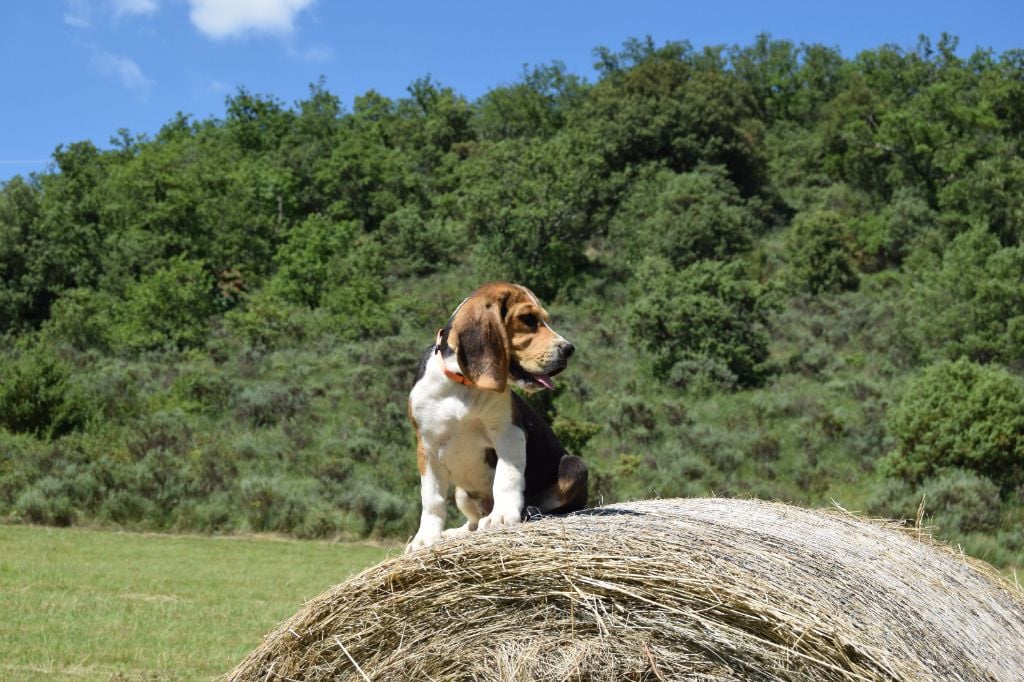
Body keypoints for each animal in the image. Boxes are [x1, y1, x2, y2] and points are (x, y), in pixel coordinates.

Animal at [405, 278, 589, 548]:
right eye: (527, 319)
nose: (569, 349)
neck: (463, 384)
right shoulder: (427, 446)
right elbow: (432, 498)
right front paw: (426, 537)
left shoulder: (508, 433)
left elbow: (507, 477)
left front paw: (502, 516)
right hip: (462, 493)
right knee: (473, 519)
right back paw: (460, 531)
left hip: (574, 466)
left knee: (546, 503)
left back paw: (527, 510)